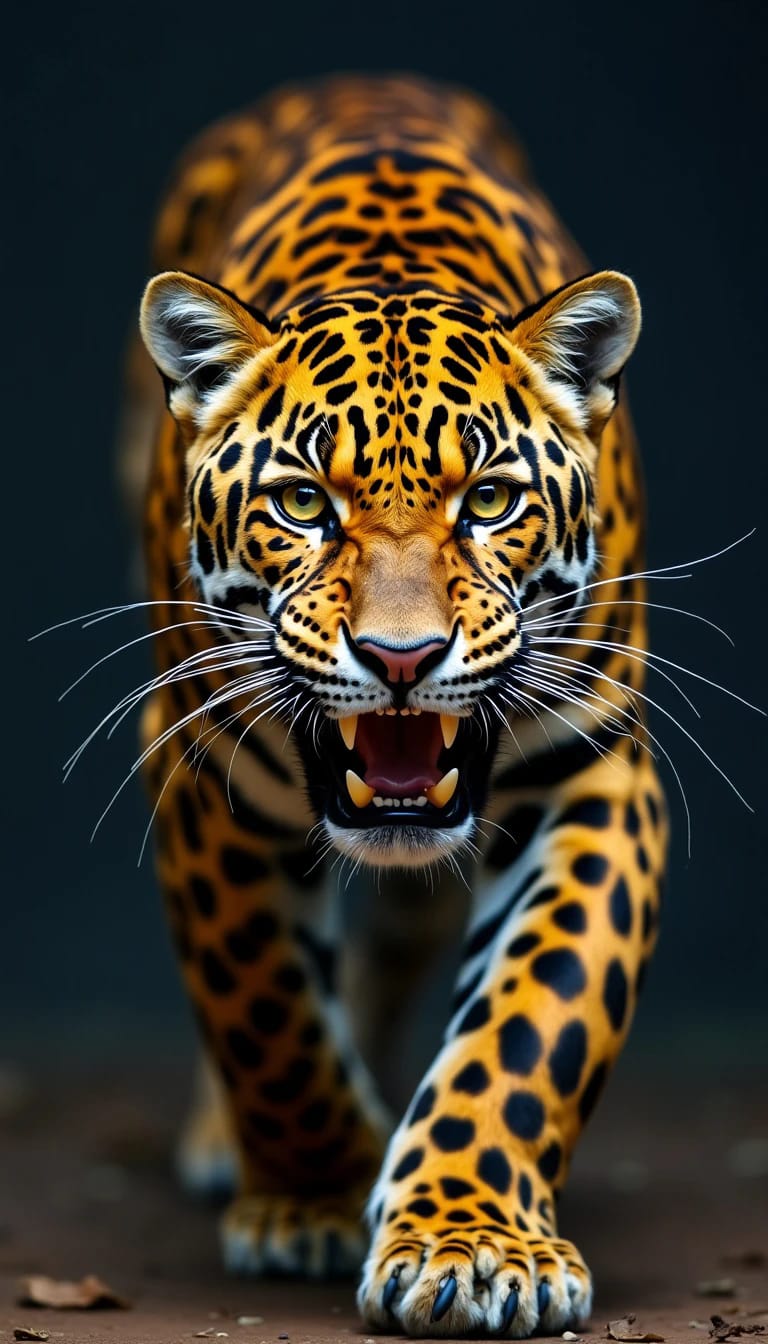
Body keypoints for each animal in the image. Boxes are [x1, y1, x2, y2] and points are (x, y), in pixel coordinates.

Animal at [128, 74, 667, 1337]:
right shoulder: (203, 769)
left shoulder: (598, 770)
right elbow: (263, 1006)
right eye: (302, 505)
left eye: (491, 500)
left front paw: (471, 1243)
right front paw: (316, 1194)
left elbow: (534, 1018)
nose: (403, 657)